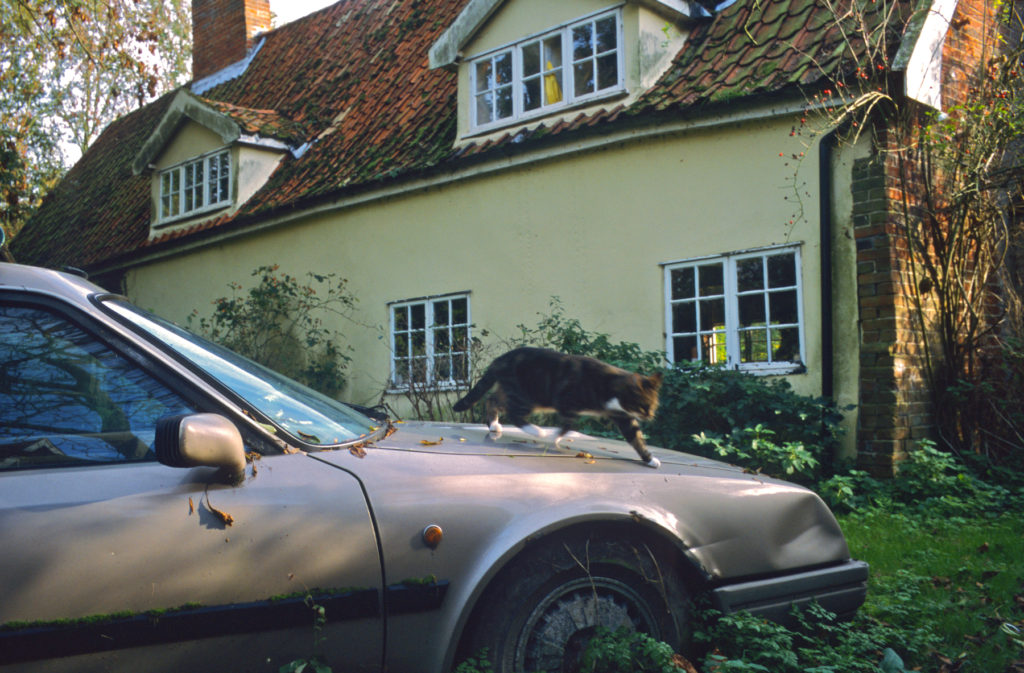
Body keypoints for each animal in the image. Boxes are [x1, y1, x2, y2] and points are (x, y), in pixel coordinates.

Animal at [450, 346, 663, 467]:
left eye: (653, 405)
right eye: (644, 405)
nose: (650, 416)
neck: (609, 386)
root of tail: (499, 359)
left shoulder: (622, 415)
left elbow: (636, 436)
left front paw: (650, 459)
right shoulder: (566, 403)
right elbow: (568, 425)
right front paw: (553, 437)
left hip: (514, 390)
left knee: (492, 399)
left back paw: (494, 425)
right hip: (529, 396)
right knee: (513, 412)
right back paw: (537, 431)